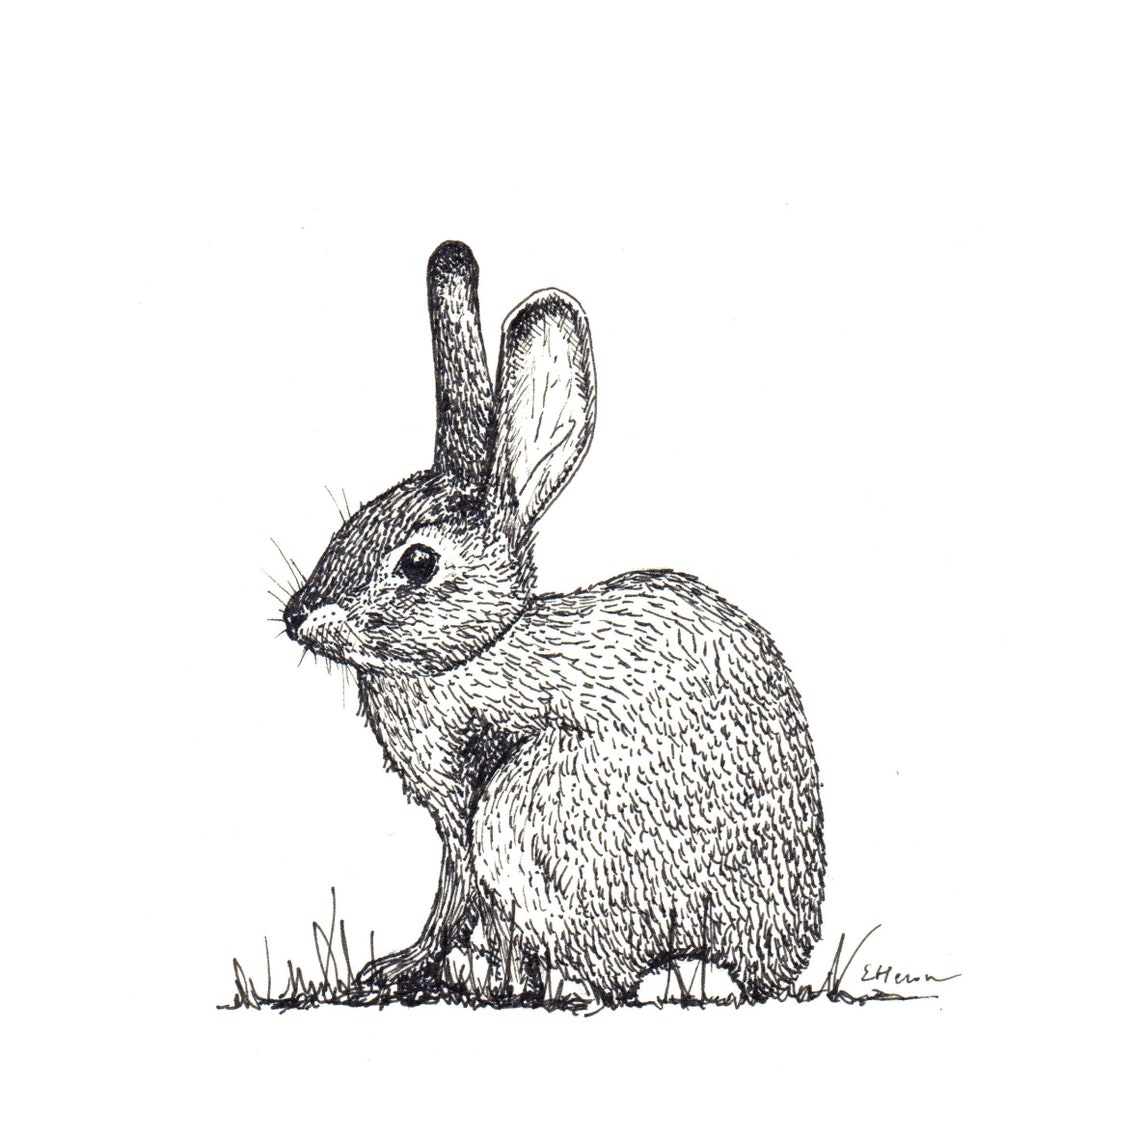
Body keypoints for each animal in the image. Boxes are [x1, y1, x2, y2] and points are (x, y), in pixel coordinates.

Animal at [282, 241, 824, 1004]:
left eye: (418, 562)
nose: (298, 617)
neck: (479, 647)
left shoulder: (468, 801)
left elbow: (461, 898)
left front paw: (424, 971)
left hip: (527, 810)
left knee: (611, 975)